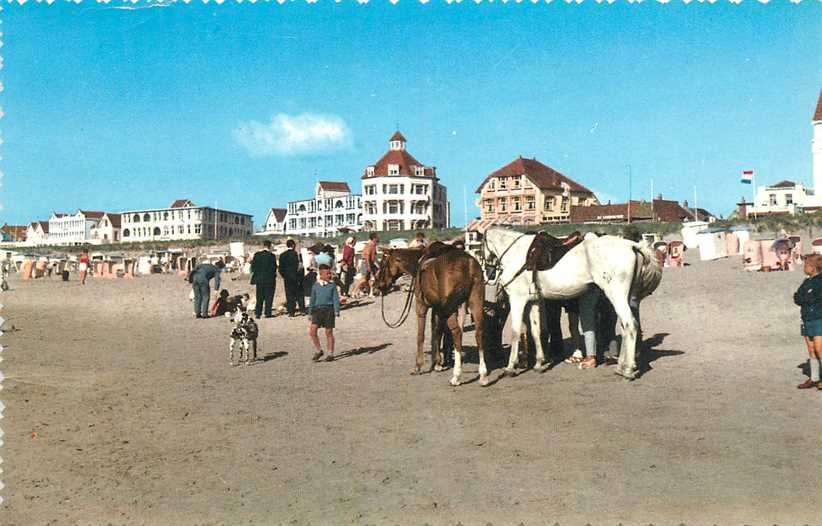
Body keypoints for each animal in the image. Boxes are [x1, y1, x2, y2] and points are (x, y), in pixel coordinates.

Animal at [374, 244, 490, 388]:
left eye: (383, 264)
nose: (377, 286)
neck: (418, 263)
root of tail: (468, 263)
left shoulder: (421, 306)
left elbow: (421, 335)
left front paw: (418, 366)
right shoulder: (437, 309)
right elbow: (437, 332)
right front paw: (438, 363)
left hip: (451, 309)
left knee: (457, 333)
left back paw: (456, 377)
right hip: (476, 302)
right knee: (479, 333)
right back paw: (483, 376)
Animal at [482, 227, 664, 380]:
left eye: (479, 248)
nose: (488, 273)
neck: (518, 254)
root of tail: (632, 245)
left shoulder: (517, 299)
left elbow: (514, 332)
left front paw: (510, 367)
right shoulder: (533, 301)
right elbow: (535, 331)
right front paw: (540, 363)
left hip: (616, 295)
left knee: (630, 325)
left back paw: (627, 370)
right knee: (625, 327)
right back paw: (621, 366)